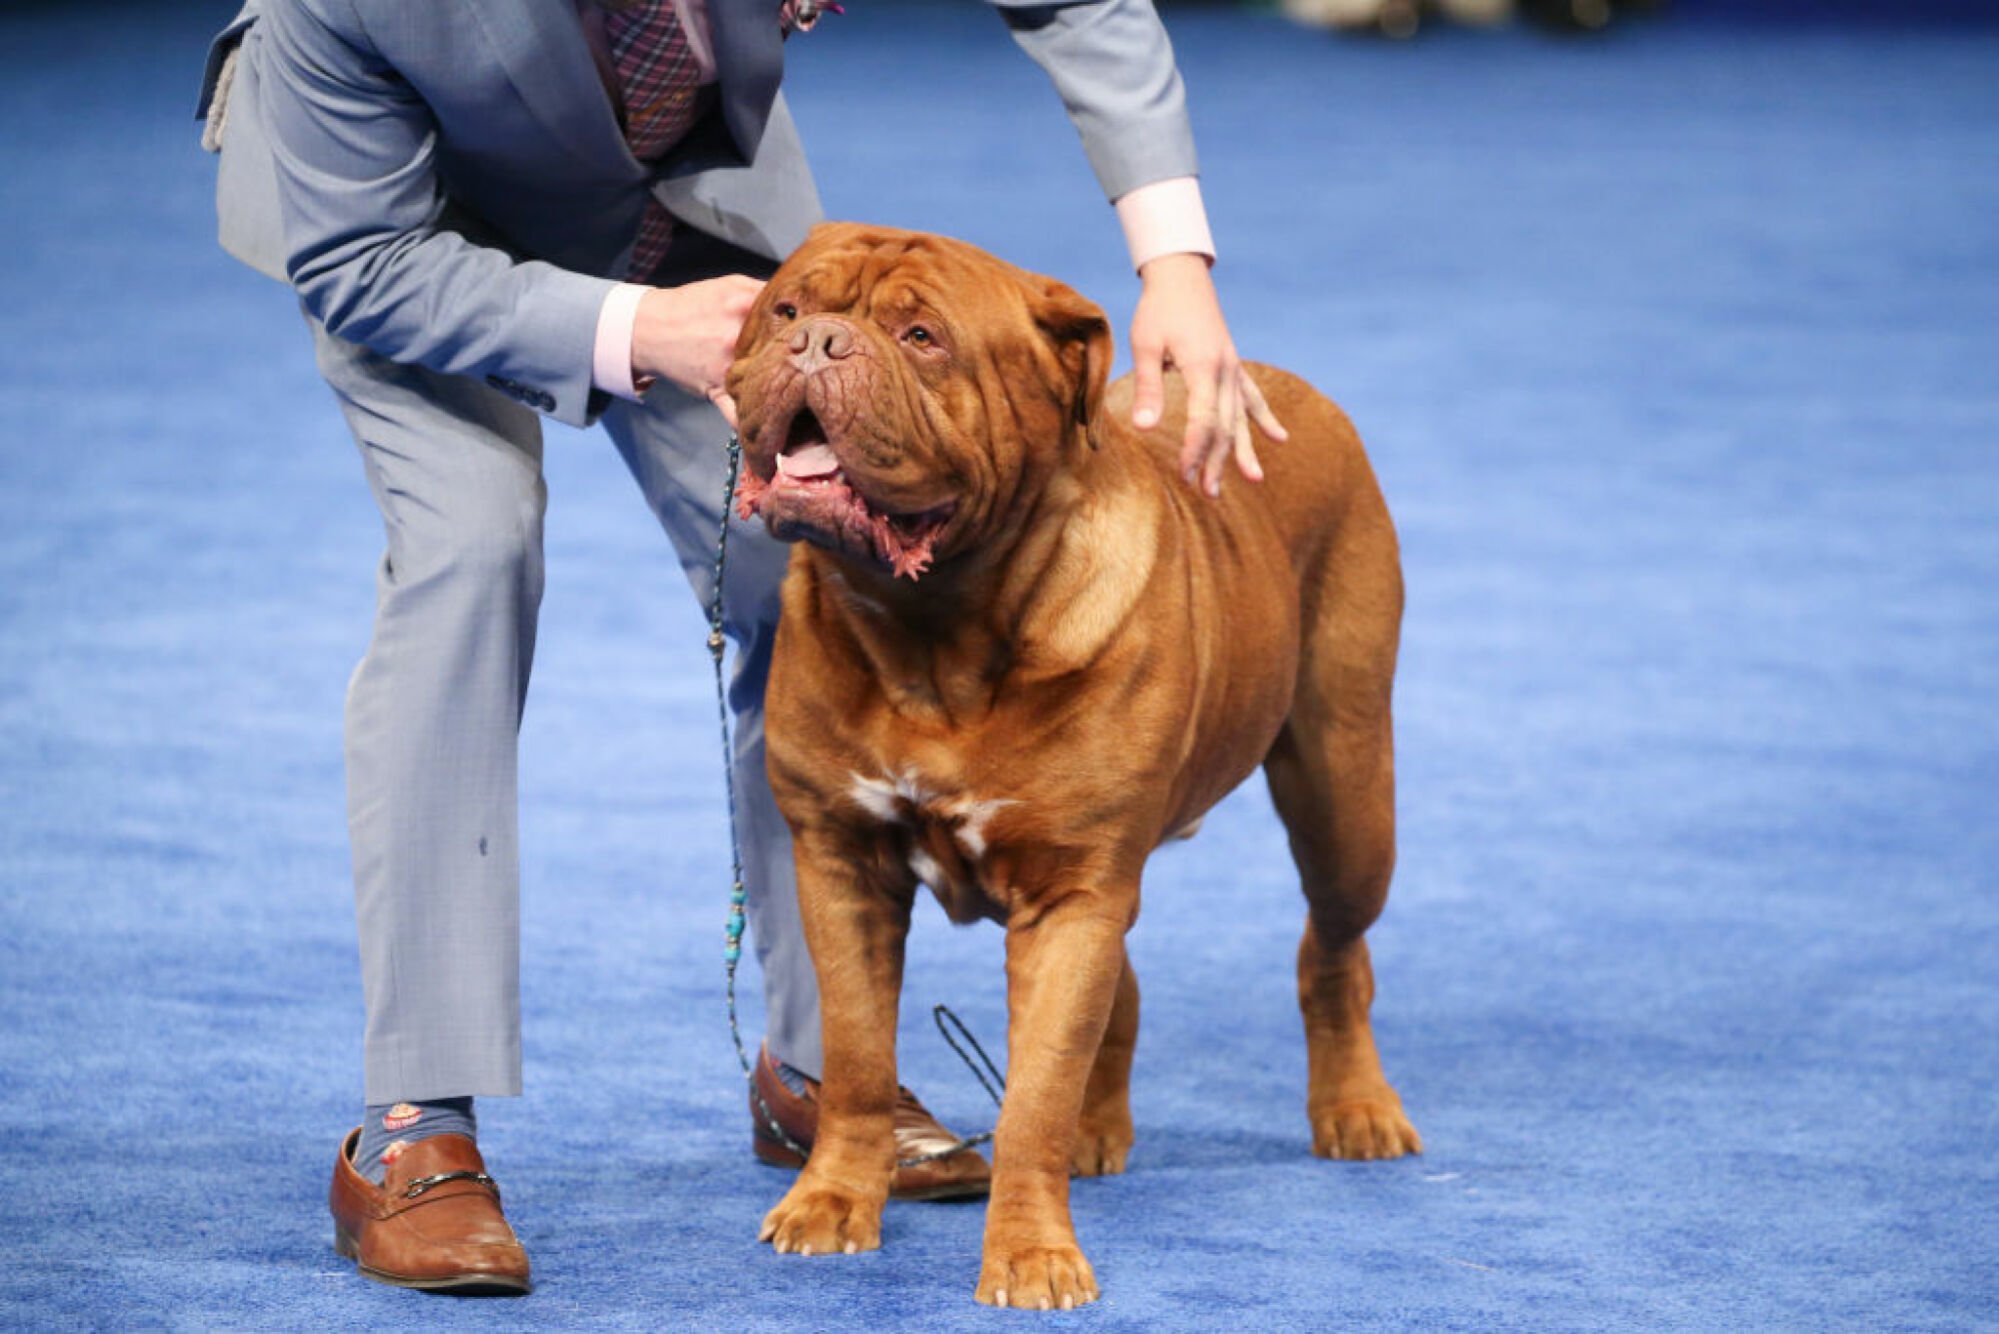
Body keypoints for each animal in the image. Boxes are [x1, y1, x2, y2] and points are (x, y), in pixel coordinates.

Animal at [727, 224, 1415, 1312]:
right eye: (786, 309)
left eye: (921, 336)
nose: (817, 343)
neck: (933, 632)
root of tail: (1278, 384)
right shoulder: (842, 863)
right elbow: (858, 1056)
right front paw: (830, 1203)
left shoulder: (1072, 893)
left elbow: (1035, 1092)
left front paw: (1031, 1255)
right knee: (1122, 994)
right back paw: (1101, 1130)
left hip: (1343, 785)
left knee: (1335, 950)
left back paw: (1356, 1109)